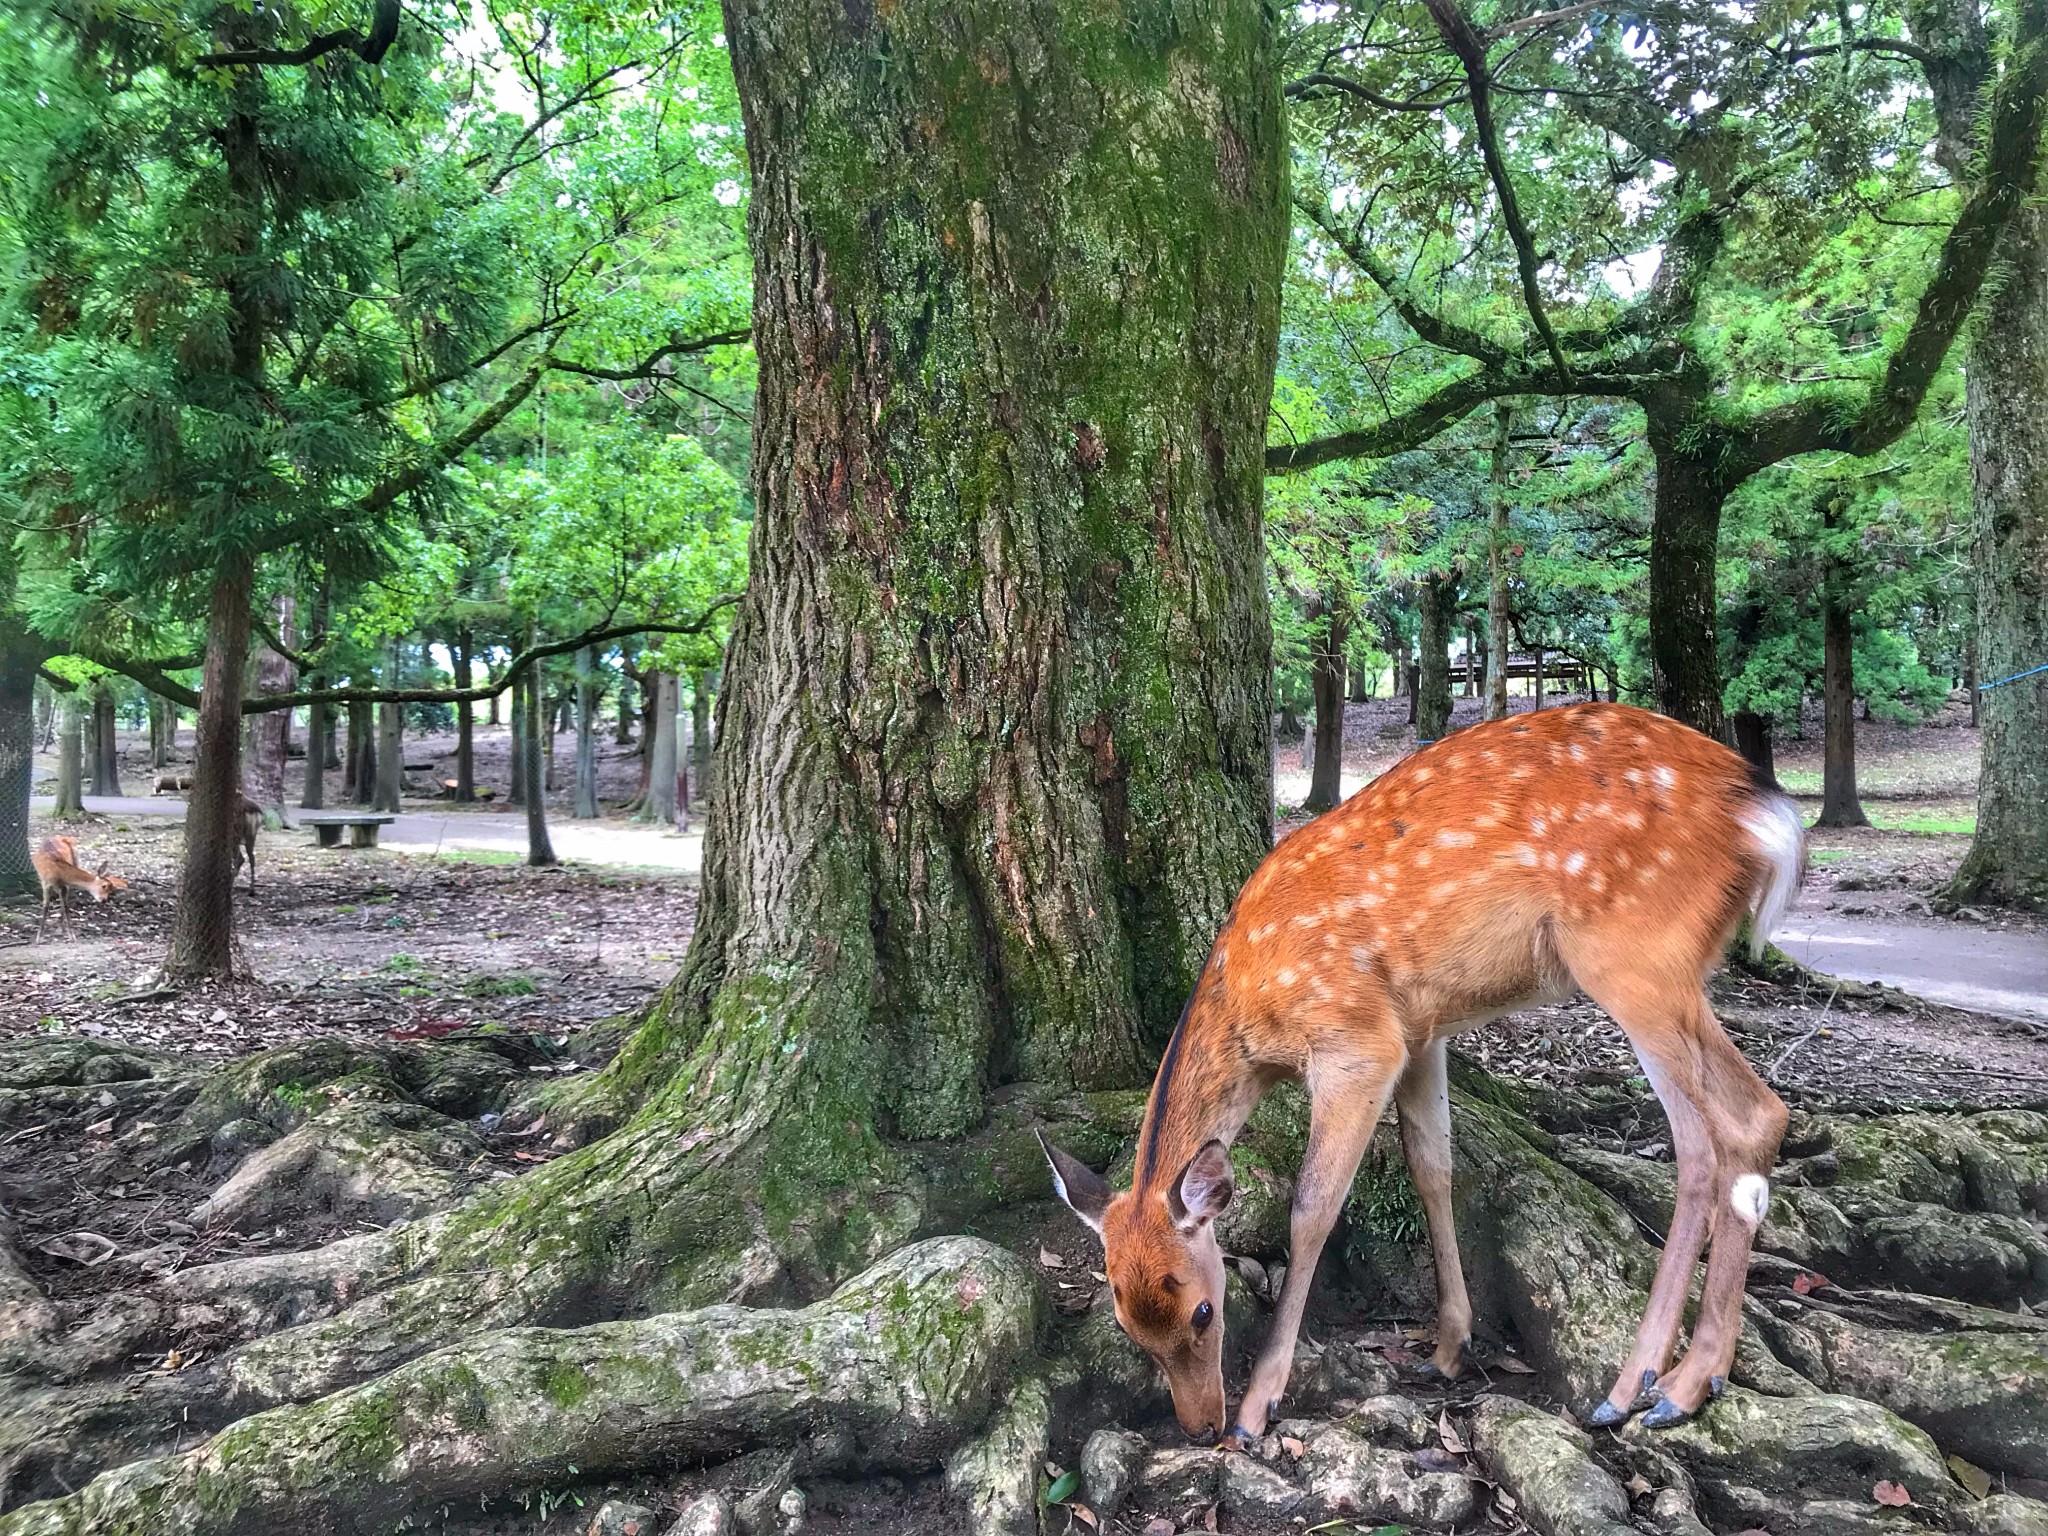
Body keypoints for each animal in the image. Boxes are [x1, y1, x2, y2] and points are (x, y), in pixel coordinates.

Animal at [1048, 704, 1802, 1449]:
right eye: (1126, 1322)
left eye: (1203, 1309)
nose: (1201, 1424)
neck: (1251, 1013)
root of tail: (1762, 810)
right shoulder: (1420, 1033)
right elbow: (1432, 1167)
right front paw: (1448, 1346)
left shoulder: (1358, 1040)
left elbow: (1312, 1208)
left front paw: (1259, 1405)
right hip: (1653, 969)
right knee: (1699, 1147)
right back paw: (1632, 1387)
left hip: (1635, 952)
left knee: (1754, 1116)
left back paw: (1685, 1384)